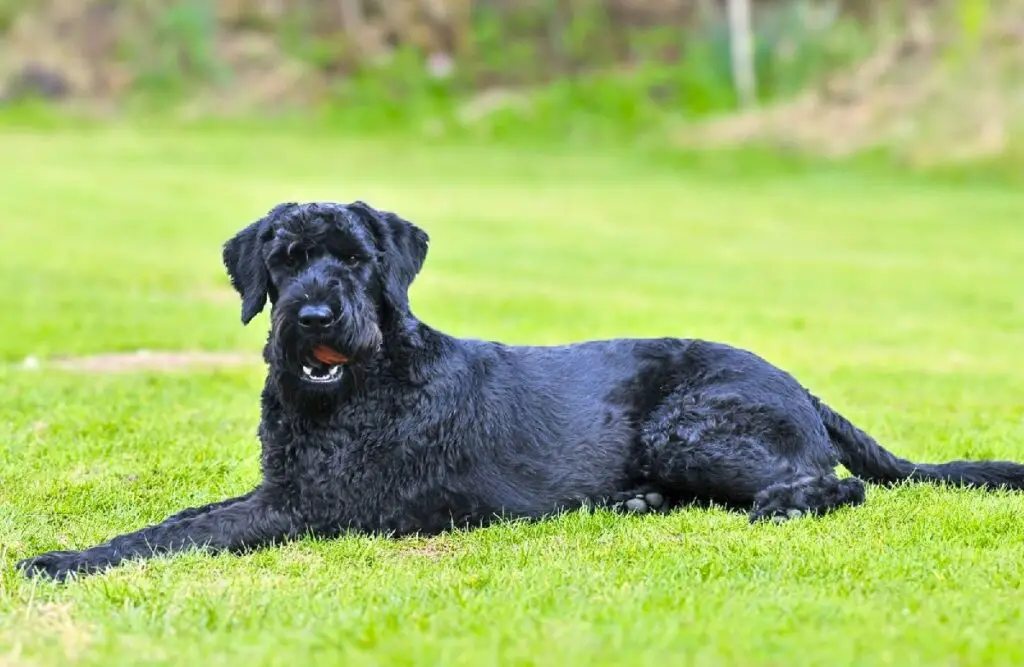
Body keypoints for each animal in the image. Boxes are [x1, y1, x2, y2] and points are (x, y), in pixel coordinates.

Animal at [16, 200, 1024, 581]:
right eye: (286, 255)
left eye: (358, 257)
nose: (313, 314)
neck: (360, 385)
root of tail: (800, 384)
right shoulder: (281, 486)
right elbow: (182, 517)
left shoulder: (309, 506)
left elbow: (175, 534)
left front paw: (62, 559)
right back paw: (638, 502)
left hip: (695, 426)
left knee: (833, 484)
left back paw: (775, 503)